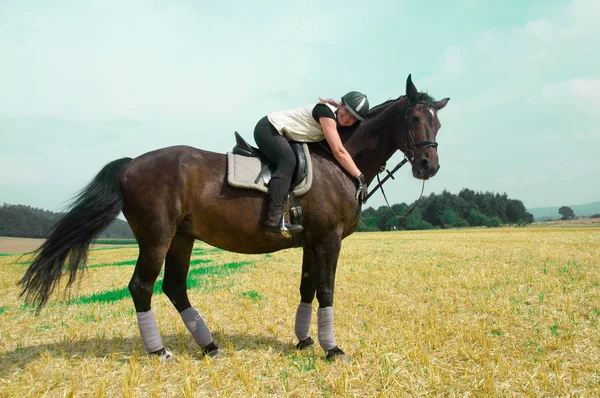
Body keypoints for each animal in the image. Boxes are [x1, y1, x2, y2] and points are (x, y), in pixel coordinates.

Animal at [18, 75, 450, 364]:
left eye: (438, 122)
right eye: (414, 119)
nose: (428, 166)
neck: (338, 160)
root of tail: (130, 164)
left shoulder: (312, 242)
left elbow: (307, 289)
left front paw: (304, 341)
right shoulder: (328, 240)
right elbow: (326, 291)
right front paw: (332, 349)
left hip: (182, 237)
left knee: (174, 287)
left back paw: (209, 345)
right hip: (157, 237)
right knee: (142, 286)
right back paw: (159, 350)